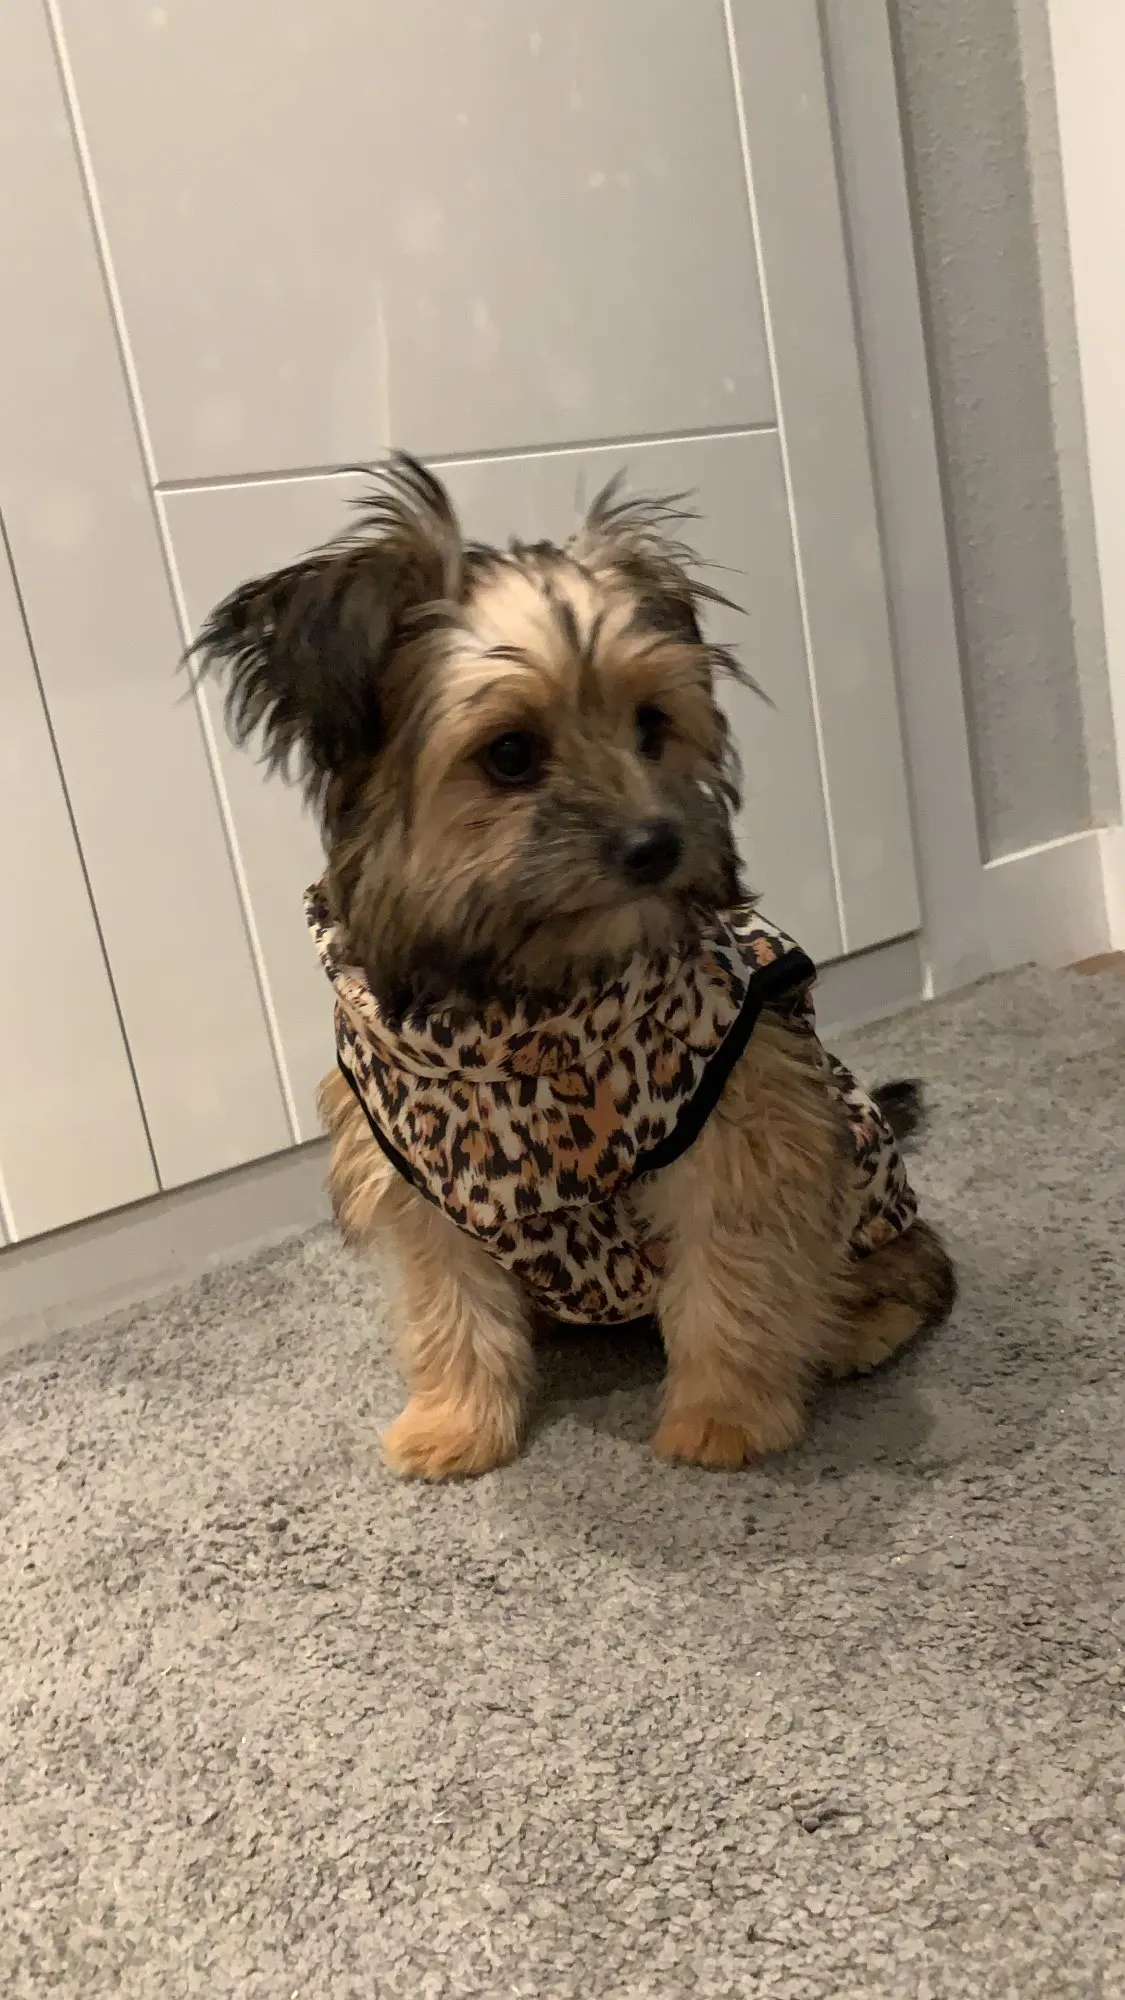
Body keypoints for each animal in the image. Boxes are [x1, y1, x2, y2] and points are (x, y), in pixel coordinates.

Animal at [194, 454, 955, 1478]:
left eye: (651, 725)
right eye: (511, 754)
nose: (657, 843)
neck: (521, 1003)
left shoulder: (740, 1130)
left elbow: (734, 1281)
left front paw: (722, 1417)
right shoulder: (419, 1184)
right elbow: (448, 1307)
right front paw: (456, 1422)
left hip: (855, 1158)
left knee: (909, 1269)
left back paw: (854, 1327)